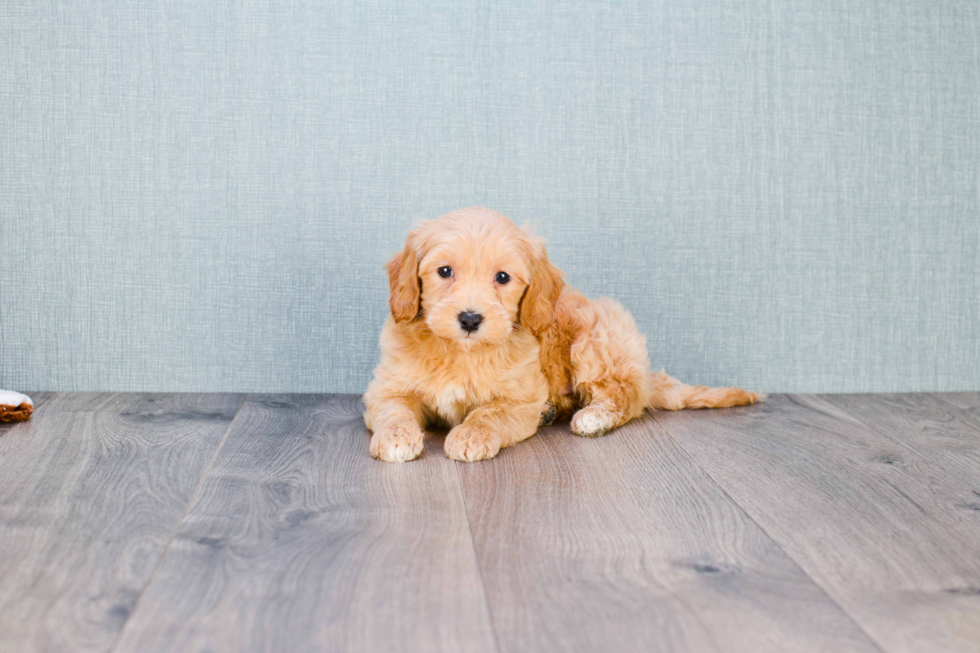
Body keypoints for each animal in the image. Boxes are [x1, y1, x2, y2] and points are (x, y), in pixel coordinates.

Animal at [364, 206, 760, 460]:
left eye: (502, 277)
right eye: (444, 271)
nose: (471, 319)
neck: (461, 352)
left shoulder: (521, 398)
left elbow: (488, 413)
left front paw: (471, 435)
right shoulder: (387, 389)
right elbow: (394, 411)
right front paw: (396, 438)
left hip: (596, 337)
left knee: (626, 396)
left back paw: (593, 417)